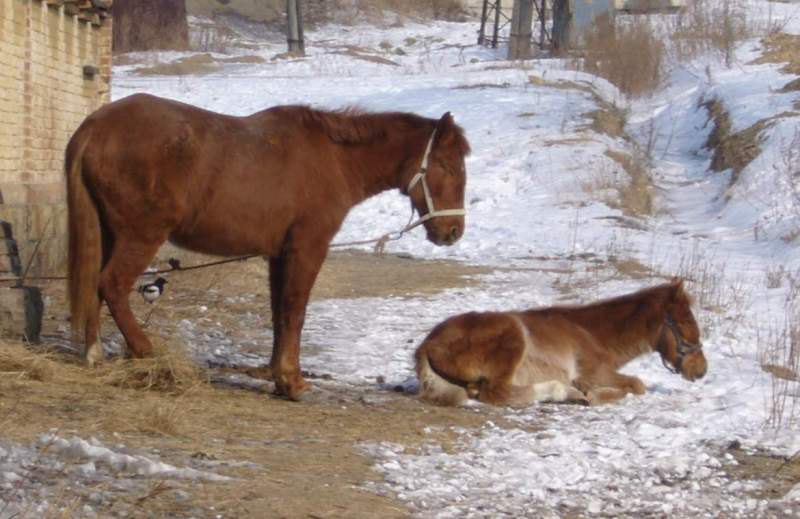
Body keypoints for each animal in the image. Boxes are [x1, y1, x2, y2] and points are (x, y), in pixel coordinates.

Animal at [69, 94, 472, 398]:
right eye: (449, 167)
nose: (453, 231)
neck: (333, 160)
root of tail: (97, 126)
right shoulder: (307, 248)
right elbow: (295, 311)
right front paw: (292, 381)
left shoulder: (279, 255)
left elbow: (280, 312)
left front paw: (278, 375)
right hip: (142, 236)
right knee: (112, 285)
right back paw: (146, 351)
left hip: (110, 234)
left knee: (96, 287)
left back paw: (94, 354)